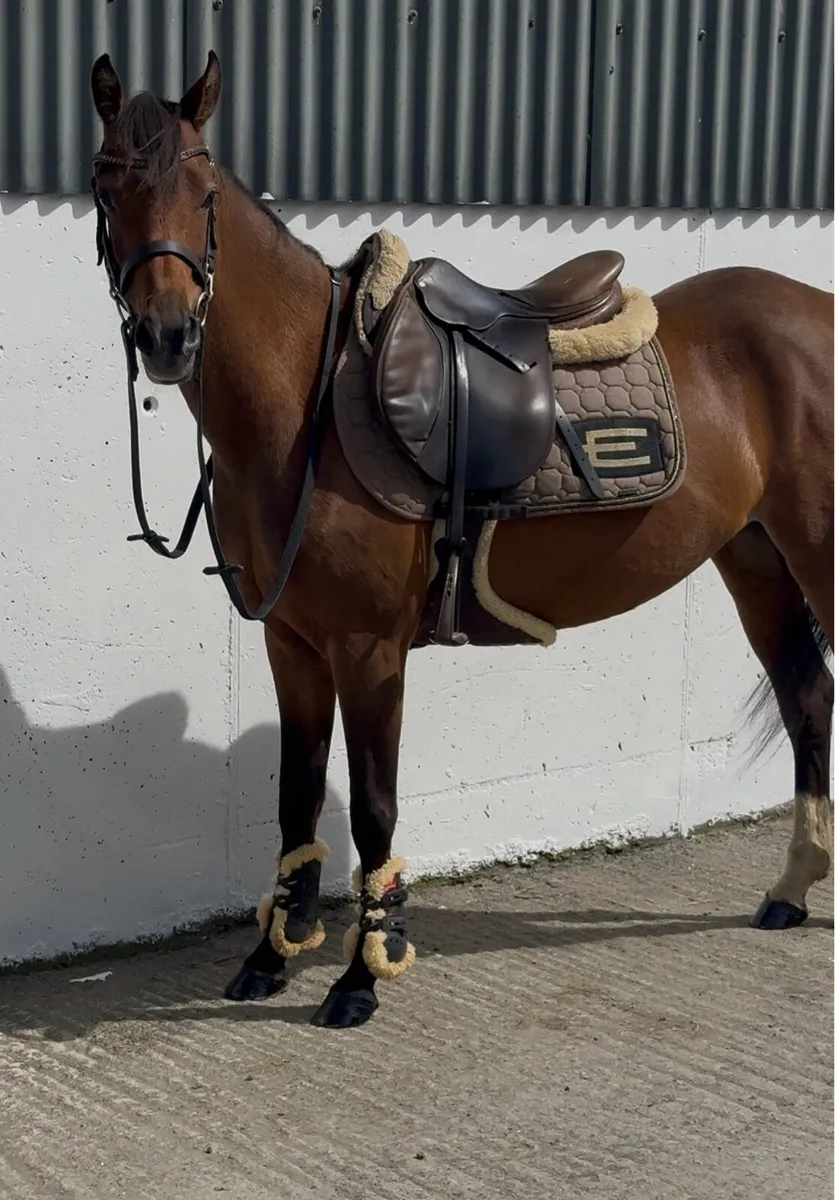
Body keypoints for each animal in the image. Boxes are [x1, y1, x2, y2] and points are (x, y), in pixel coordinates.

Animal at [89, 51, 833, 1029]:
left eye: (204, 187)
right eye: (106, 185)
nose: (169, 334)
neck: (304, 408)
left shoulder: (368, 649)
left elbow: (373, 808)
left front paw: (362, 977)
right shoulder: (292, 643)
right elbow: (295, 800)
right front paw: (269, 957)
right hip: (756, 557)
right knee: (807, 697)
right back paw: (790, 888)